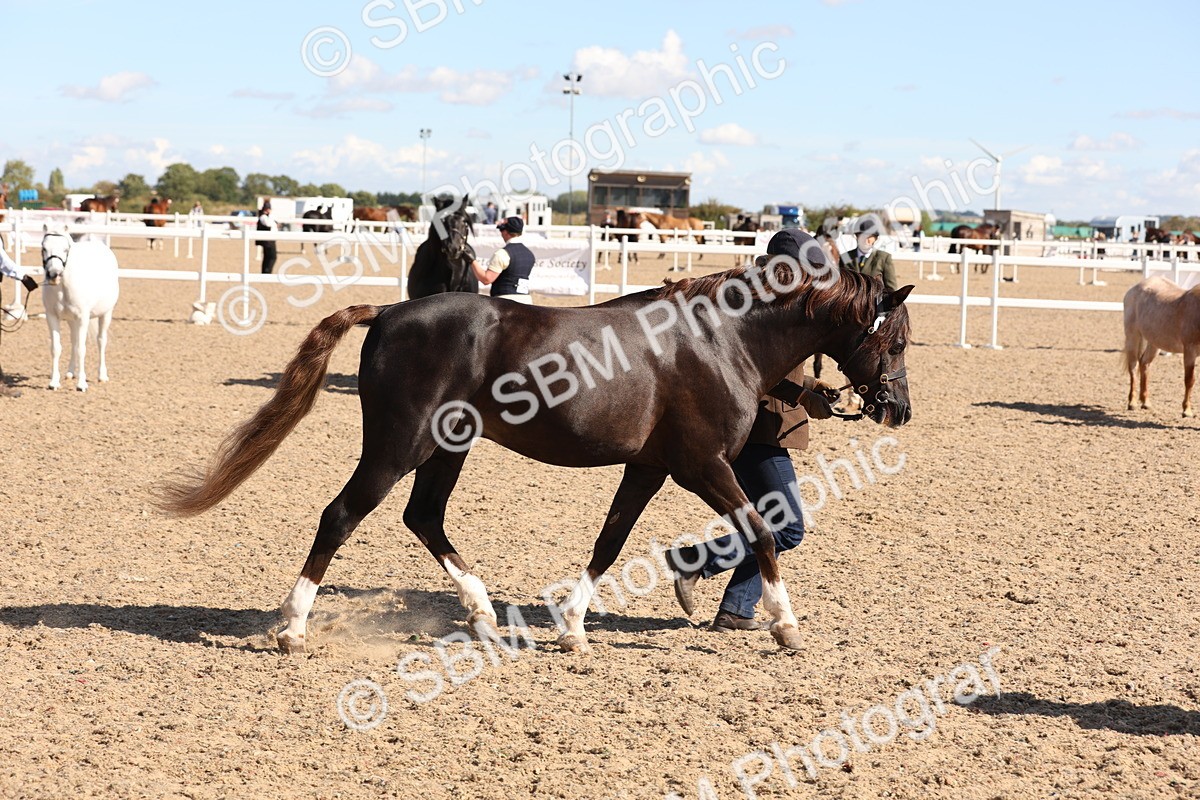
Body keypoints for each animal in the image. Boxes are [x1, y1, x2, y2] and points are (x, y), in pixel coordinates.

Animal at [40, 230, 120, 392]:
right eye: (44, 248)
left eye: (66, 249)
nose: (54, 274)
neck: (64, 287)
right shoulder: (52, 317)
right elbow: (56, 348)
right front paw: (54, 382)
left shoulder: (83, 318)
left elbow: (82, 349)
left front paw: (82, 384)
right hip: (72, 321)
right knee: (74, 341)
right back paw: (70, 372)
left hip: (106, 314)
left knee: (101, 341)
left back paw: (102, 376)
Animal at [157, 256, 913, 656]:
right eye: (897, 339)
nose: (897, 410)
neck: (718, 339)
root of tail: (391, 313)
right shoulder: (702, 466)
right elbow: (760, 533)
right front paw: (786, 627)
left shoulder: (649, 467)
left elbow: (611, 540)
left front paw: (574, 627)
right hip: (398, 447)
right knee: (340, 516)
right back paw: (293, 626)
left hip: (446, 449)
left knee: (423, 518)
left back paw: (484, 615)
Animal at [1122, 276, 1199, 416]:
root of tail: (1136, 287)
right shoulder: (1189, 350)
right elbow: (1189, 380)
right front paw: (1187, 410)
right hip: (1133, 336)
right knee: (1133, 367)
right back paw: (1132, 403)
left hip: (1154, 342)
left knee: (1144, 363)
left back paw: (1146, 402)